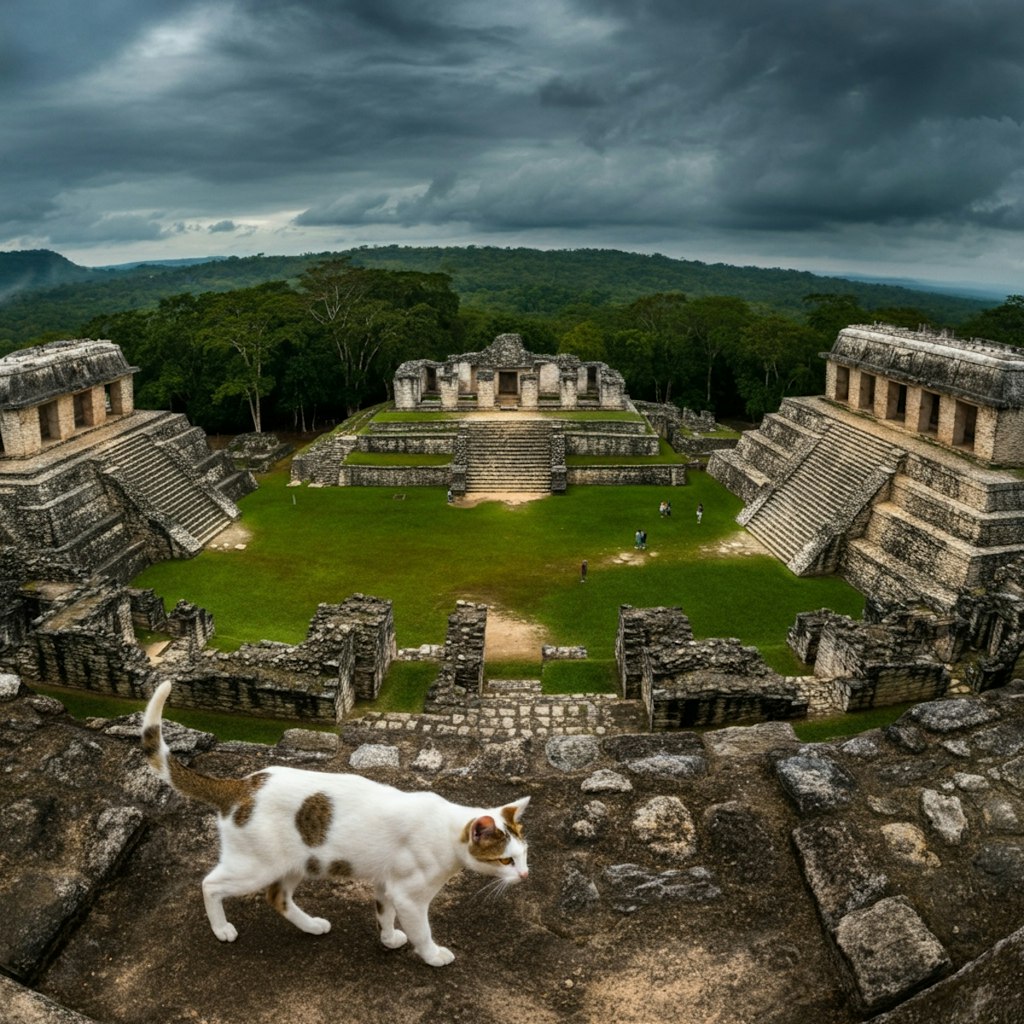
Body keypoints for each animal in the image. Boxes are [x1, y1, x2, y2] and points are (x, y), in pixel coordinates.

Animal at [140, 679, 532, 966]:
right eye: (505, 860)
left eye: (525, 855)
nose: (526, 875)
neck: (447, 832)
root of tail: (240, 785)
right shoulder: (410, 895)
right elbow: (421, 930)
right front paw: (433, 955)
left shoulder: (387, 884)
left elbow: (384, 914)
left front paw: (389, 938)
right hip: (255, 866)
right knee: (210, 884)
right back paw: (222, 928)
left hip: (297, 863)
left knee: (277, 897)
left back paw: (312, 925)